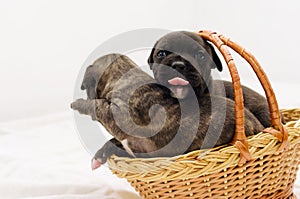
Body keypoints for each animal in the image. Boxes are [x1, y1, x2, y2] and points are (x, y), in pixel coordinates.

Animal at [71, 53, 264, 169]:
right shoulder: (137, 150)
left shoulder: (121, 115)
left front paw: (78, 103)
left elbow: (99, 106)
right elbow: (115, 142)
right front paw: (100, 155)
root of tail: (258, 126)